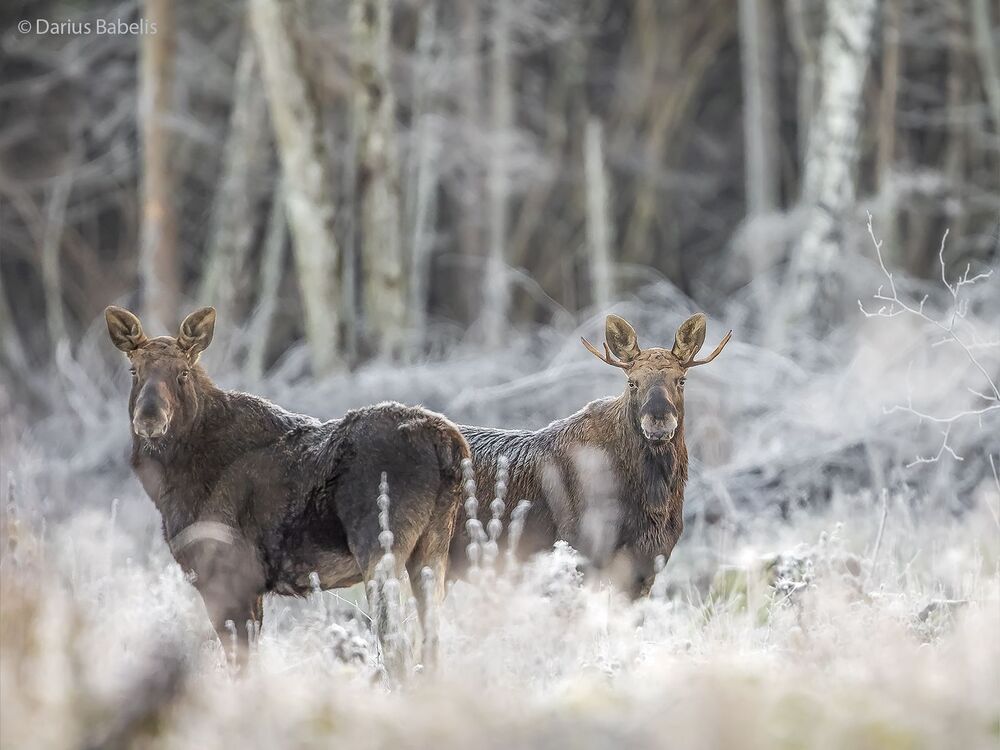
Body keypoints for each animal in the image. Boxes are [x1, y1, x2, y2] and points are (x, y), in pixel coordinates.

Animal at [105, 305, 469, 675]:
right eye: (134, 370)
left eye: (182, 372)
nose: (149, 418)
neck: (169, 484)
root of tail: (449, 443)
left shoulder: (224, 575)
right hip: (432, 548)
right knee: (431, 644)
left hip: (380, 547)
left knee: (398, 648)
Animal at [449, 313, 730, 597]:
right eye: (632, 382)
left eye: (681, 380)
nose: (658, 421)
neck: (656, 500)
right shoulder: (579, 550)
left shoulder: (649, 563)